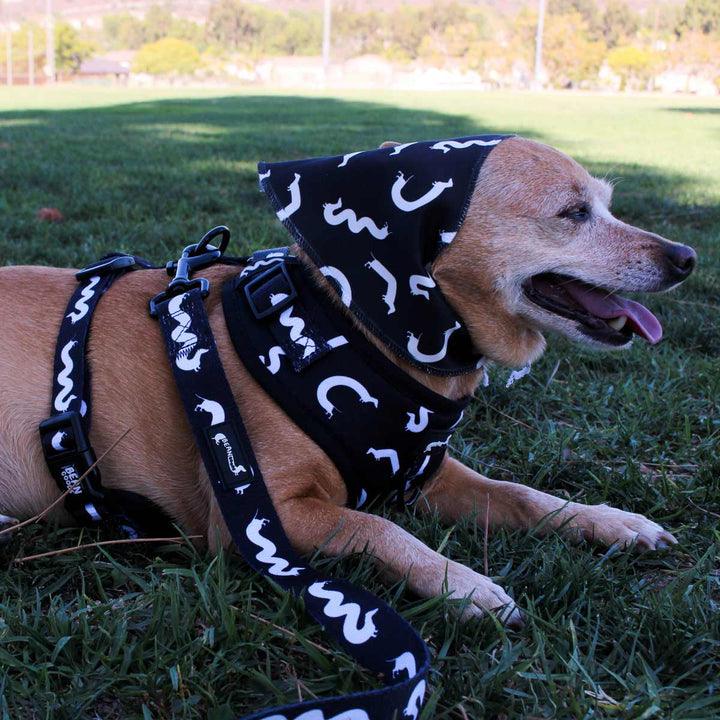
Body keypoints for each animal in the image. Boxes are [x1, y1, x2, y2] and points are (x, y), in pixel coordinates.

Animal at [0, 136, 696, 632]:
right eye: (573, 213)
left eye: (606, 203)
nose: (686, 257)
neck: (350, 332)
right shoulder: (266, 519)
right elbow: (378, 528)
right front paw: (461, 583)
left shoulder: (428, 478)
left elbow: (525, 496)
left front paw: (610, 522)